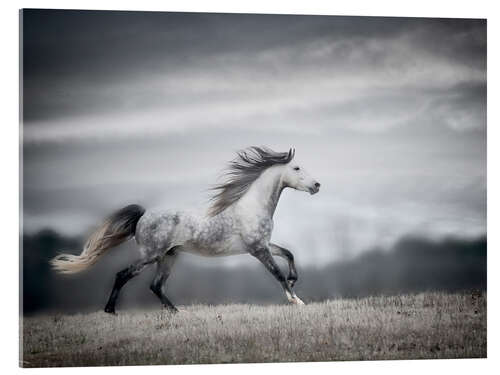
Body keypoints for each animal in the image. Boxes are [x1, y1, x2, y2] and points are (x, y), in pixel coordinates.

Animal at [50, 147, 320, 314]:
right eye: (297, 168)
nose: (317, 185)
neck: (251, 207)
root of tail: (143, 216)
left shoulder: (263, 245)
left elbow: (288, 254)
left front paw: (295, 281)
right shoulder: (257, 249)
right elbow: (277, 274)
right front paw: (297, 301)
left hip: (169, 256)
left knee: (156, 286)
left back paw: (177, 312)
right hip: (151, 256)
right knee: (123, 275)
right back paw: (111, 311)